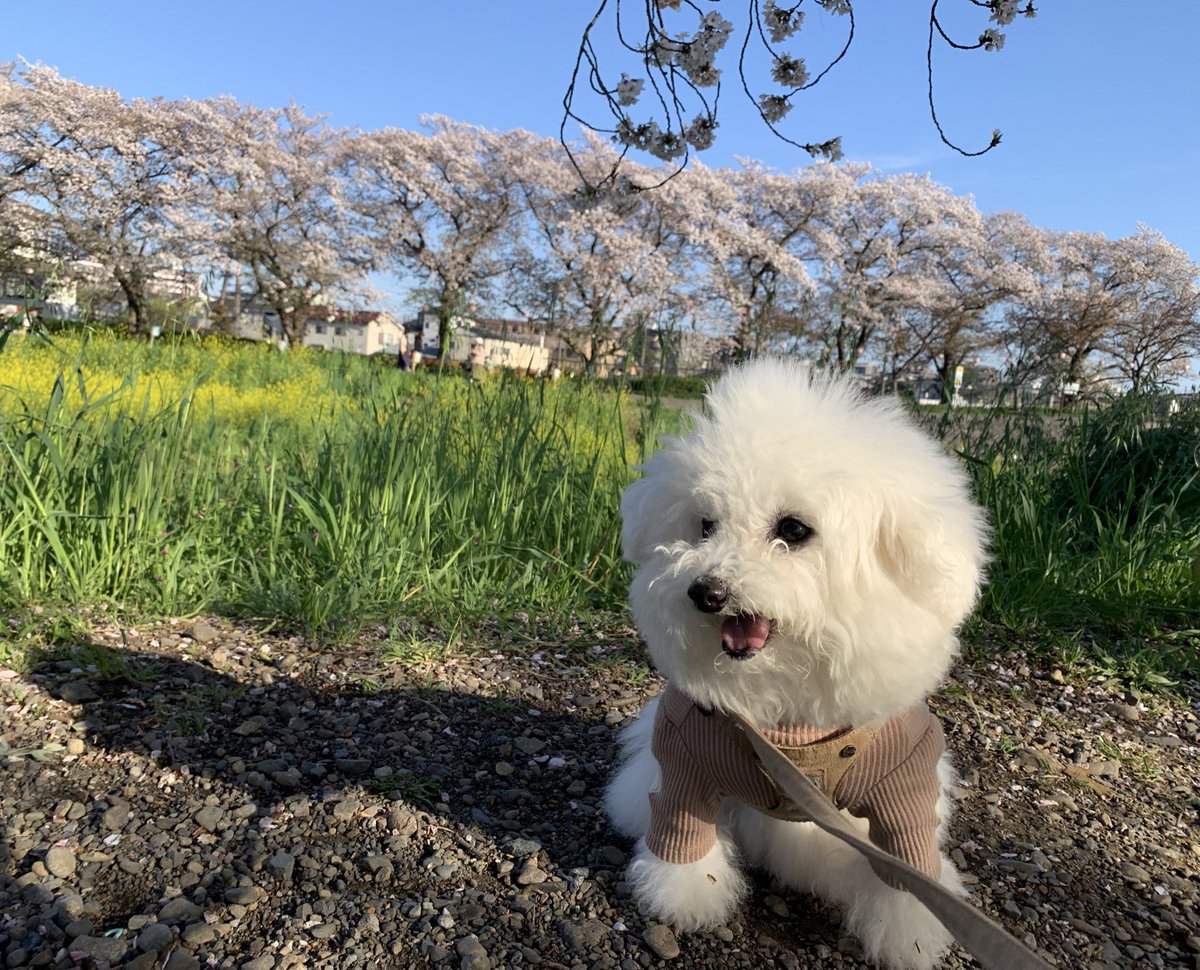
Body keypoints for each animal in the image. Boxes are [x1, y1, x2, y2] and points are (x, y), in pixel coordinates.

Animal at [604, 360, 988, 969]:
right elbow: (683, 838)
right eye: (705, 525)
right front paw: (684, 897)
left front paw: (909, 934)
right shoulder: (686, 757)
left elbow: (910, 872)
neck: (785, 713)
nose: (706, 592)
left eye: (793, 530)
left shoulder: (905, 782)